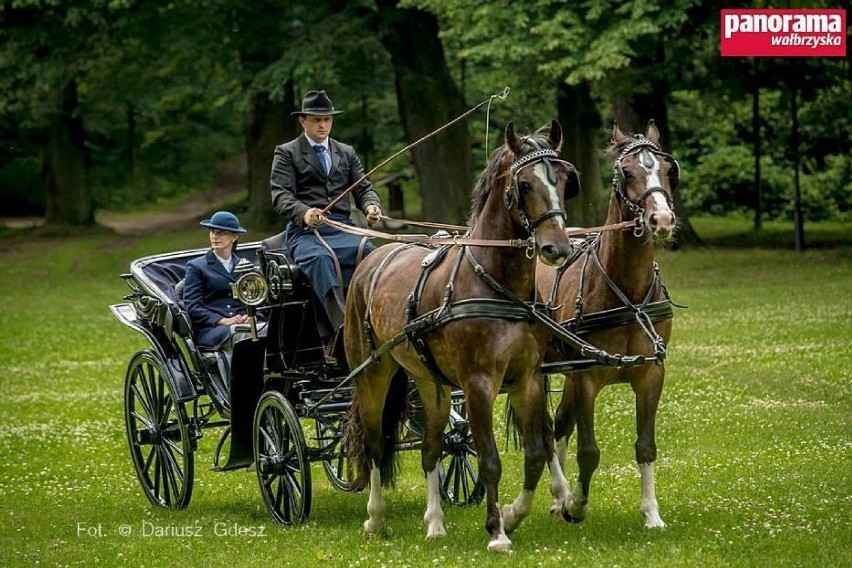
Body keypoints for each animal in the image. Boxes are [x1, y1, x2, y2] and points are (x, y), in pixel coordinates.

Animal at [344, 122, 580, 552]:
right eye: (524, 184)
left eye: (564, 179)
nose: (557, 248)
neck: (497, 283)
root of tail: (372, 258)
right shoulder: (478, 384)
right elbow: (489, 460)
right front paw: (497, 531)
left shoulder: (528, 379)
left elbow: (536, 452)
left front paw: (514, 514)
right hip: (372, 374)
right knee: (374, 444)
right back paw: (375, 518)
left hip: (430, 383)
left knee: (431, 447)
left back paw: (435, 523)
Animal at [540, 120, 680, 528]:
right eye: (627, 172)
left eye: (667, 169)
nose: (662, 220)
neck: (626, 293)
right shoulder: (587, 375)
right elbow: (589, 450)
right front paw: (576, 504)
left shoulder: (651, 374)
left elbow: (645, 446)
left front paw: (651, 513)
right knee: (547, 428)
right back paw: (561, 496)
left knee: (560, 423)